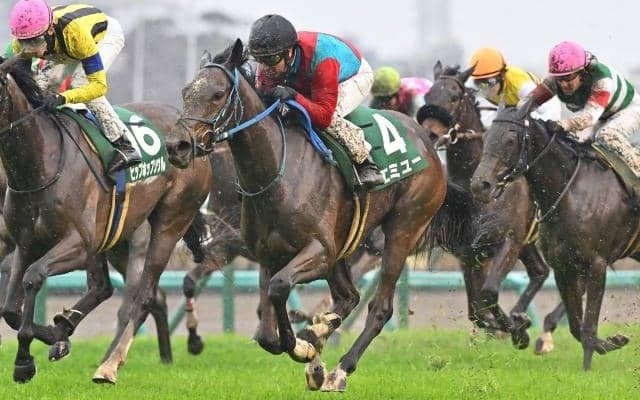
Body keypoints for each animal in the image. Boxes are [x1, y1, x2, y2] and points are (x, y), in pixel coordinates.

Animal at [0, 56, 212, 384]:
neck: (42, 165)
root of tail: (190, 138)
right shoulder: (26, 244)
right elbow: (10, 309)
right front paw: (54, 335)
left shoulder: (78, 245)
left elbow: (33, 277)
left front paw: (24, 361)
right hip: (117, 236)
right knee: (104, 287)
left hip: (169, 222)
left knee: (142, 296)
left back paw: (110, 365)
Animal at [165, 39, 461, 391]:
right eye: (185, 92)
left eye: (218, 94)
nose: (177, 146)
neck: (277, 173)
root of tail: (427, 141)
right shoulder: (268, 255)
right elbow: (266, 334)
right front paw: (308, 342)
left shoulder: (319, 250)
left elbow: (280, 289)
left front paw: (303, 346)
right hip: (344, 249)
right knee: (349, 297)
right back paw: (319, 339)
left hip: (403, 230)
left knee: (379, 307)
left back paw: (339, 369)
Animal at [420, 62, 565, 352]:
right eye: (428, 95)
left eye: (454, 96)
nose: (429, 134)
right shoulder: (468, 255)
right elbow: (475, 310)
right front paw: (508, 326)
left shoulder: (508, 242)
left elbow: (487, 295)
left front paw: (516, 330)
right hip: (528, 243)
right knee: (540, 271)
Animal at [470, 103, 632, 370]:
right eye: (486, 138)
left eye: (511, 140)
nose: (479, 185)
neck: (570, 192)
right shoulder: (562, 264)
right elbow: (577, 325)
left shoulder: (596, 263)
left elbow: (588, 326)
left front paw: (587, 369)